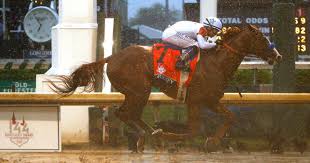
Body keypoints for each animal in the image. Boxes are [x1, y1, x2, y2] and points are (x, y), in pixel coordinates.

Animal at [47, 24, 280, 153]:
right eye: (261, 38)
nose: (277, 55)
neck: (217, 62)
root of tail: (111, 57)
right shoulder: (196, 101)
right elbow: (193, 129)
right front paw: (175, 136)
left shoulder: (211, 100)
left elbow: (230, 116)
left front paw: (212, 141)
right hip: (140, 90)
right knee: (125, 113)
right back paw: (147, 135)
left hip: (135, 92)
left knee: (127, 114)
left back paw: (151, 133)